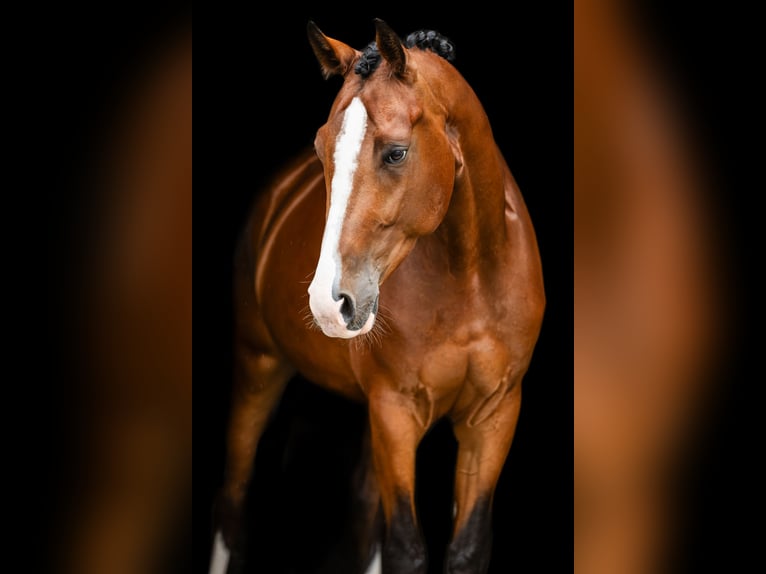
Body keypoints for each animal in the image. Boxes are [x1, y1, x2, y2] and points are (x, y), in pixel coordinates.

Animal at [210, 18, 544, 574]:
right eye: (321, 147)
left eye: (396, 151)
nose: (329, 303)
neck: (472, 279)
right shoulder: (395, 410)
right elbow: (405, 547)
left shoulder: (494, 415)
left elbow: (466, 547)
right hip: (258, 368)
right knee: (232, 505)